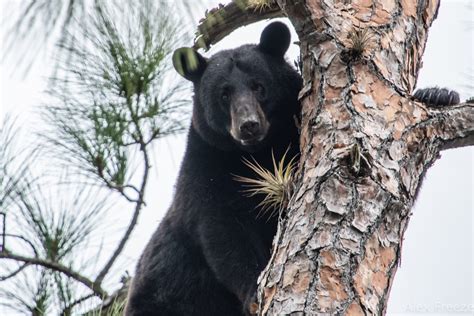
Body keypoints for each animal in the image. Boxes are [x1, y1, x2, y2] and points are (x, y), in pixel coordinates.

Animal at [125, 22, 304, 316]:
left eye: (259, 86)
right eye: (224, 93)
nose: (248, 125)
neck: (257, 155)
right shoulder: (206, 169)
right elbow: (223, 234)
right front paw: (253, 292)